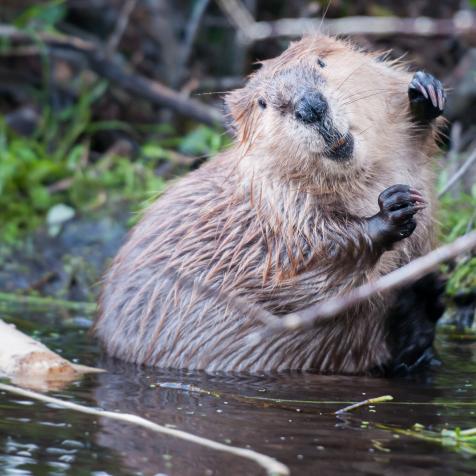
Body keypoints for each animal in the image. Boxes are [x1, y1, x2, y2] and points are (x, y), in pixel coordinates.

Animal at [96, 33, 446, 376]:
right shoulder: (276, 208)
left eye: (321, 62)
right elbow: (308, 269)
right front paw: (392, 209)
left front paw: (425, 92)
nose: (310, 107)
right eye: (263, 103)